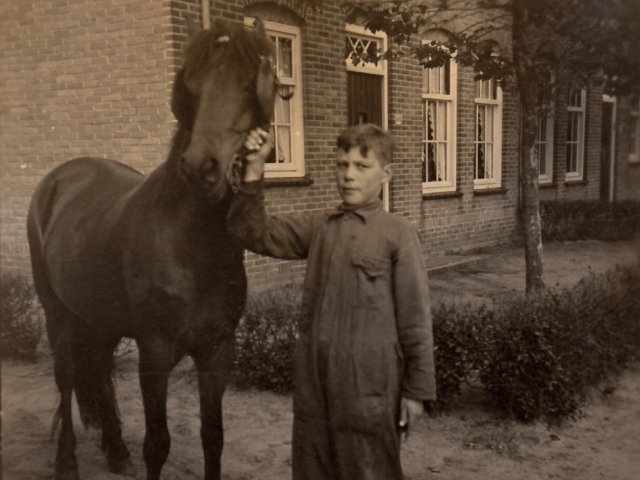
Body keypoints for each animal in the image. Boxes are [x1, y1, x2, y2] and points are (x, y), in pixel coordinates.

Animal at [26, 19, 278, 480]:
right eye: (192, 85)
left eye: (247, 82)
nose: (201, 168)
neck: (195, 248)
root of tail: (58, 179)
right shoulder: (155, 352)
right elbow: (157, 443)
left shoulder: (218, 351)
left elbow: (213, 437)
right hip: (58, 315)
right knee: (66, 377)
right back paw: (67, 461)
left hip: (101, 319)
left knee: (100, 371)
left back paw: (115, 450)